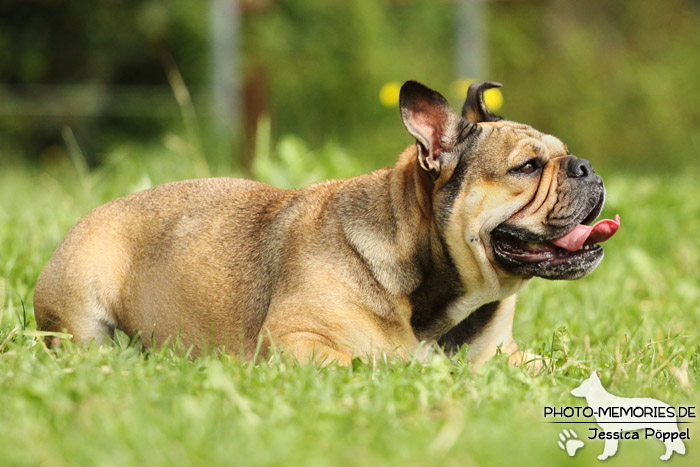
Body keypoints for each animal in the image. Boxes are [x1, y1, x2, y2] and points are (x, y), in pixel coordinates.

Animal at [34, 80, 616, 368]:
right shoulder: (296, 340)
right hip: (83, 300)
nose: (586, 167)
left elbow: (554, 368)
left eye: (564, 154)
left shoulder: (506, 356)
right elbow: (360, 364)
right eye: (528, 167)